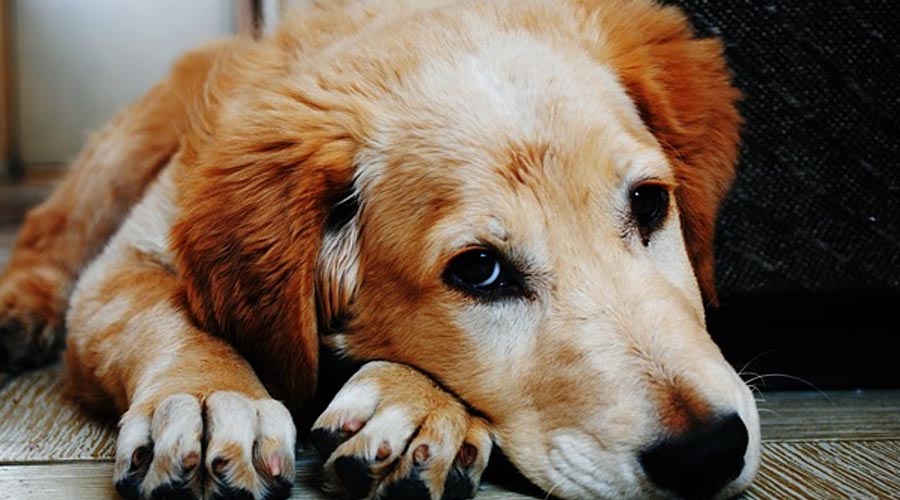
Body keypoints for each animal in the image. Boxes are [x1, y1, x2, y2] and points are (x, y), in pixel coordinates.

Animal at [0, 0, 760, 500]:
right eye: (479, 270)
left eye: (650, 204)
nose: (709, 453)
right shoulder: (124, 264)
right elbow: (163, 318)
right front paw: (210, 398)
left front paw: (414, 404)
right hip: (127, 150)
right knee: (49, 231)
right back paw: (19, 310)